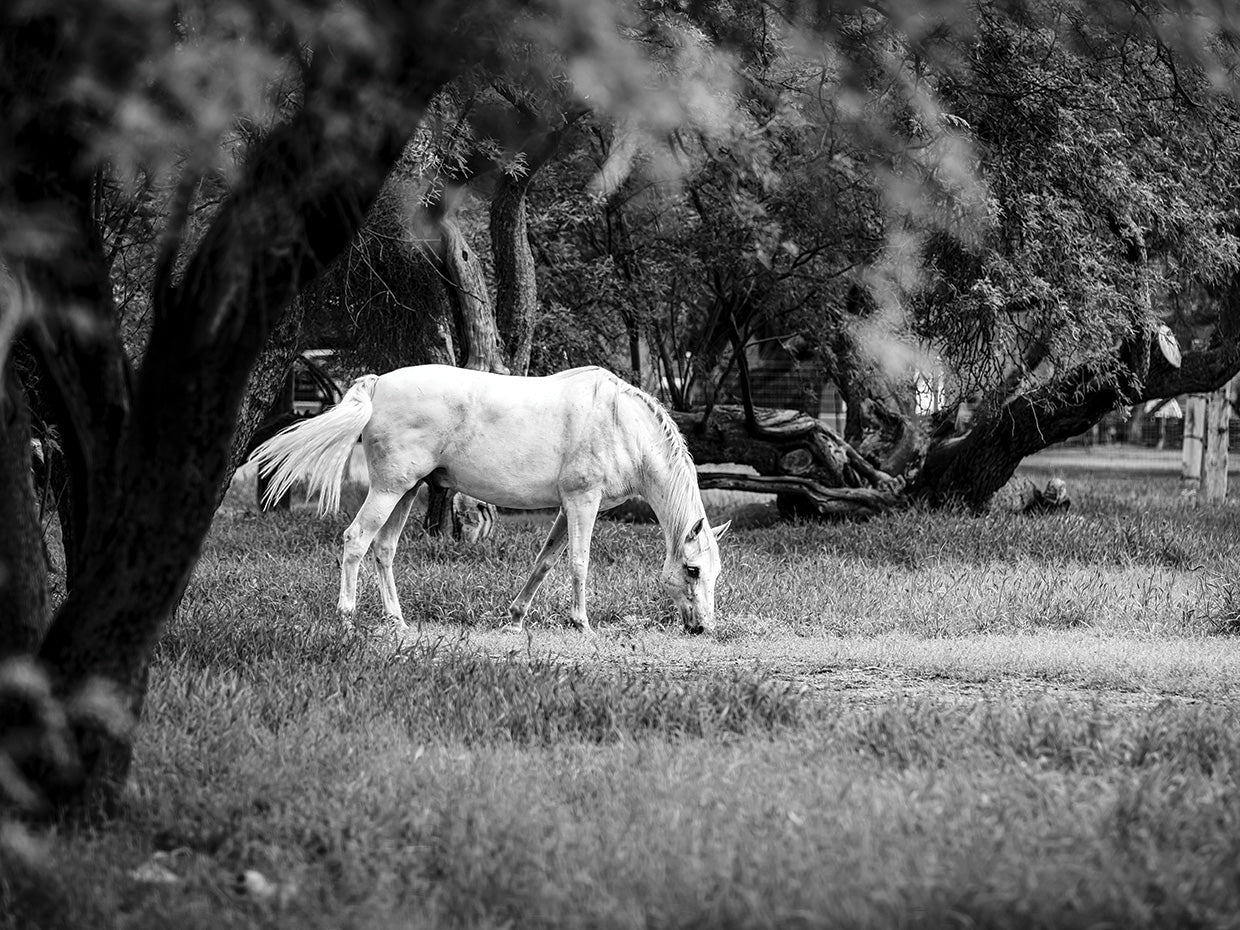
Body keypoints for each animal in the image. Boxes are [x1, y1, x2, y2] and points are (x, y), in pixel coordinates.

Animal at [249, 365, 730, 636]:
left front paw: (515, 617)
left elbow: (545, 561)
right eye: (692, 570)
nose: (702, 628)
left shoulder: (565, 508)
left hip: (405, 491)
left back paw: (396, 620)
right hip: (387, 491)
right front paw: (582, 624)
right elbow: (579, 562)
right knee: (355, 542)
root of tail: (379, 383)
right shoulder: (582, 501)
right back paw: (348, 617)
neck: (619, 421)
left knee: (384, 550)